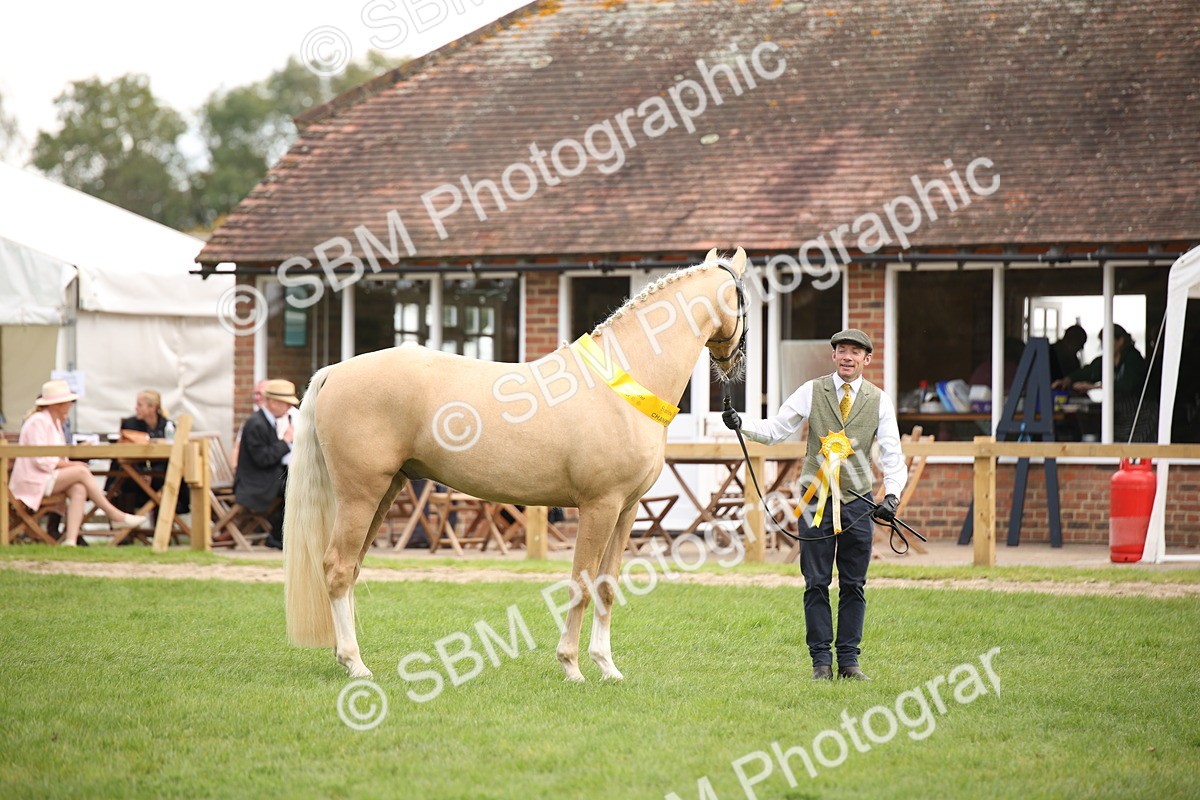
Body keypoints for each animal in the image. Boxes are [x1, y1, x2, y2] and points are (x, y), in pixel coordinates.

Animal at [283, 247, 749, 681]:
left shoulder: (627, 509)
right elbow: (581, 583)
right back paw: (355, 664)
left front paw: (607, 666)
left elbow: (606, 586)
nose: (735, 365)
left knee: (353, 568)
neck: (623, 384)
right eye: (747, 299)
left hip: (384, 493)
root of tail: (335, 371)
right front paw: (571, 665)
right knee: (338, 568)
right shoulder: (599, 506)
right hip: (360, 495)